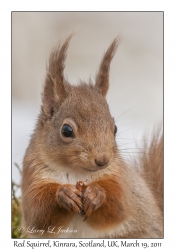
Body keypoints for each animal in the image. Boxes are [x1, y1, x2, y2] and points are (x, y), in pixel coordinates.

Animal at [21, 35, 163, 238]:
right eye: (66, 130)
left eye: (115, 128)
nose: (103, 160)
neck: (76, 174)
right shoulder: (32, 174)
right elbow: (37, 212)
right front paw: (64, 194)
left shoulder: (120, 177)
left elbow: (120, 203)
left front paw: (96, 193)